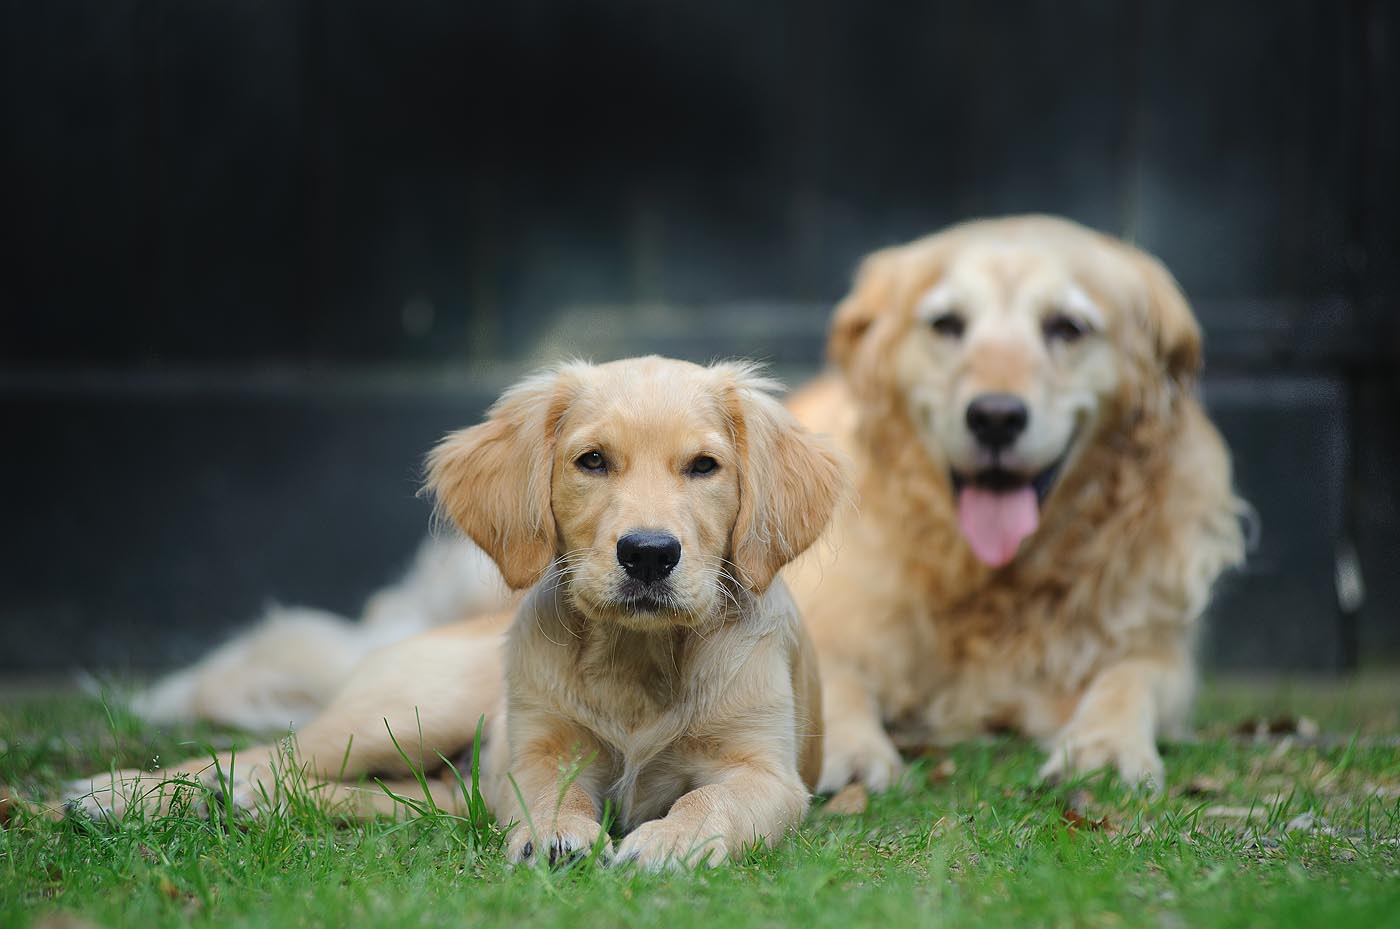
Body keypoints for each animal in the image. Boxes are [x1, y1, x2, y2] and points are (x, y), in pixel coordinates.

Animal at [63, 356, 840, 873]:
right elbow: (548, 793)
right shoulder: (536, 749)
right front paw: (556, 834)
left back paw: (248, 805)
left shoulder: (768, 773)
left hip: (435, 771)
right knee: (263, 756)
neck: (640, 659)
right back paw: (111, 794)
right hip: (408, 711)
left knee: (363, 790)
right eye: (591, 461)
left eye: (704, 467)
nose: (648, 554)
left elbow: (713, 802)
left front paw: (672, 841)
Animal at [784, 215, 1254, 789]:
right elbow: (838, 680)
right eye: (946, 324)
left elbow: (1129, 677)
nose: (995, 417)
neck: (995, 583)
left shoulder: (1158, 650)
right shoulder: (834, 626)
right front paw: (851, 750)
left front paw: (1106, 744)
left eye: (1068, 327)